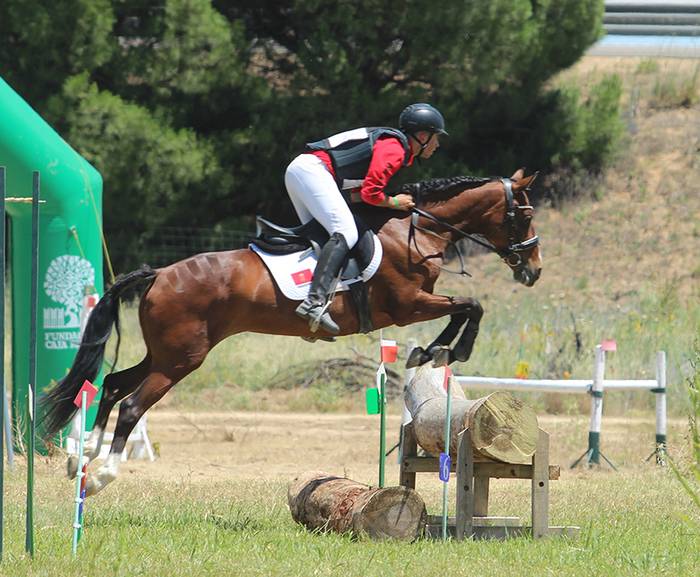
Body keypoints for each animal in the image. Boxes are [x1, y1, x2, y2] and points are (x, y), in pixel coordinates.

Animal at [39, 166, 540, 496]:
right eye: (525, 216)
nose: (532, 271)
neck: (417, 232)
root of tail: (159, 272)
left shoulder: (414, 305)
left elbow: (465, 308)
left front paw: (431, 352)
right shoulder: (406, 305)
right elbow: (472, 306)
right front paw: (447, 350)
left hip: (166, 353)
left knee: (111, 384)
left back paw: (80, 456)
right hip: (181, 359)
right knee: (131, 405)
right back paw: (101, 475)